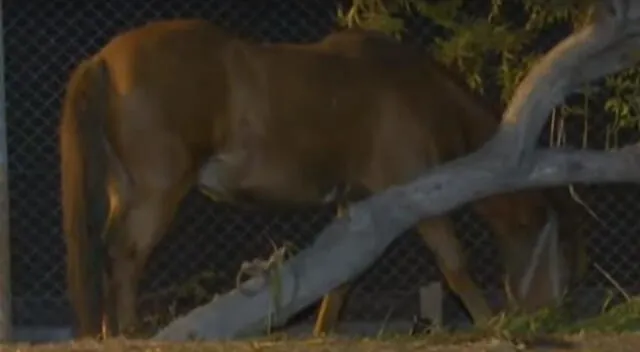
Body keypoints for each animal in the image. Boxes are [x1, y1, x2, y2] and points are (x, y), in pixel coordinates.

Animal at [58, 19, 584, 338]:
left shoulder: (358, 207)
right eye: (555, 243)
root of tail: (104, 60)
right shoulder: (412, 196)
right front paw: (493, 326)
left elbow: (341, 282)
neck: (415, 92)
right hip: (156, 192)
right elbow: (454, 265)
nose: (551, 312)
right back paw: (128, 333)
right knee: (124, 256)